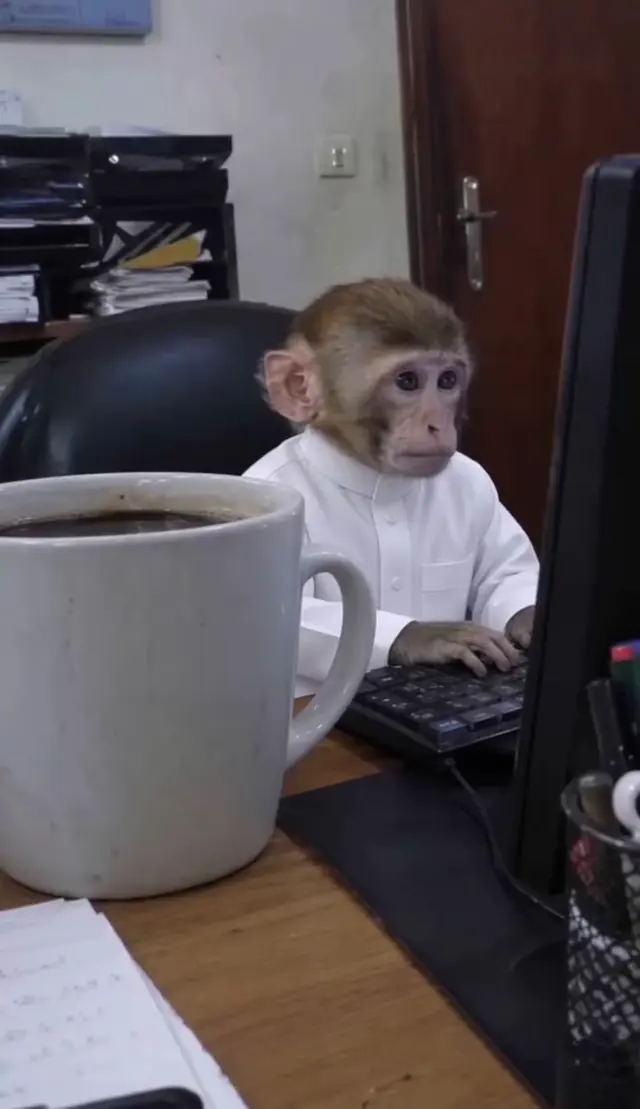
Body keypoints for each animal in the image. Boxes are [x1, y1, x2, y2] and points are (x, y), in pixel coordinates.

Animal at [245, 277, 538, 691]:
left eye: (447, 381)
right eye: (408, 381)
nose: (437, 423)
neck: (378, 482)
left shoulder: (482, 484)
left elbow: (510, 574)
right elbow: (298, 610)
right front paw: (429, 636)